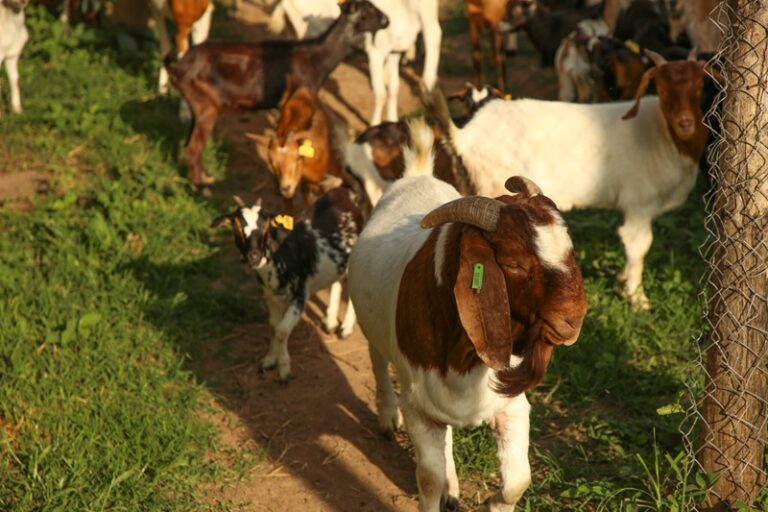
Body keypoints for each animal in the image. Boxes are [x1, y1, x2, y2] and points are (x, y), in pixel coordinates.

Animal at [165, 0, 389, 187]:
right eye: (368, 10)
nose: (386, 20)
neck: (316, 58)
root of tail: (178, 69)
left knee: (189, 143)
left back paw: (206, 177)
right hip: (207, 105)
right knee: (193, 147)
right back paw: (201, 187)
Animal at [212, 187, 365, 382]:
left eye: (266, 225)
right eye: (236, 227)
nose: (253, 256)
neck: (280, 254)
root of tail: (343, 192)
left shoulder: (299, 296)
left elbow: (282, 331)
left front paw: (284, 369)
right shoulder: (271, 297)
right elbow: (273, 326)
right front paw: (269, 360)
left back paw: (345, 328)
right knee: (337, 281)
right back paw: (330, 322)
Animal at [348, 119, 587, 511]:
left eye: (569, 249)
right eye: (514, 263)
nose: (573, 320)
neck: (463, 358)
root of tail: (416, 173)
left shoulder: (511, 407)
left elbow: (518, 480)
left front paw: (490, 502)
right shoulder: (418, 409)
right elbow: (427, 480)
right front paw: (441, 489)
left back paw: (454, 488)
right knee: (378, 360)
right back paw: (386, 418)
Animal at [423, 49, 714, 310]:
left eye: (700, 85)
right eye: (660, 87)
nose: (685, 123)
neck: (662, 134)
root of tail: (466, 135)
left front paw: (622, 281)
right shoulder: (639, 203)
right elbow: (638, 246)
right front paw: (637, 299)